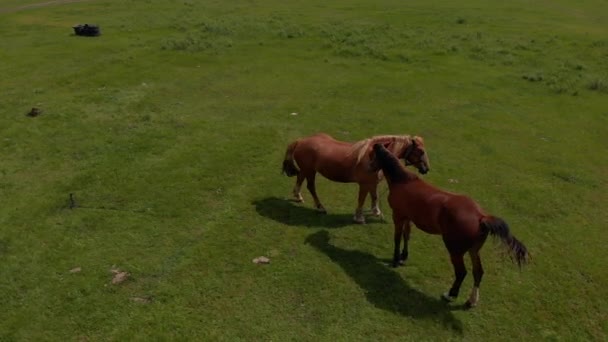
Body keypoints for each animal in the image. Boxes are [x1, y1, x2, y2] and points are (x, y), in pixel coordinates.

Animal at [282, 132, 430, 223]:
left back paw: (298, 196)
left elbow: (375, 197)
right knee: (311, 187)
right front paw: (359, 217)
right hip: (310, 171)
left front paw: (376, 212)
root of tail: (301, 141)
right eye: (421, 151)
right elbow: (361, 200)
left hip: (306, 170)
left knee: (299, 179)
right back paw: (320, 207)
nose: (426, 169)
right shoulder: (364, 184)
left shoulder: (373, 183)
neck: (372, 157)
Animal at [368, 143, 528, 308]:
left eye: (373, 156)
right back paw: (471, 300)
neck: (403, 181)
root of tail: (481, 217)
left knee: (462, 272)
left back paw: (450, 294)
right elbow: (407, 237)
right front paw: (403, 257)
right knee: (478, 272)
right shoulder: (407, 218)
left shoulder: (398, 216)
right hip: (473, 250)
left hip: (455, 251)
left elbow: (398, 238)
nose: (369, 167)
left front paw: (395, 260)